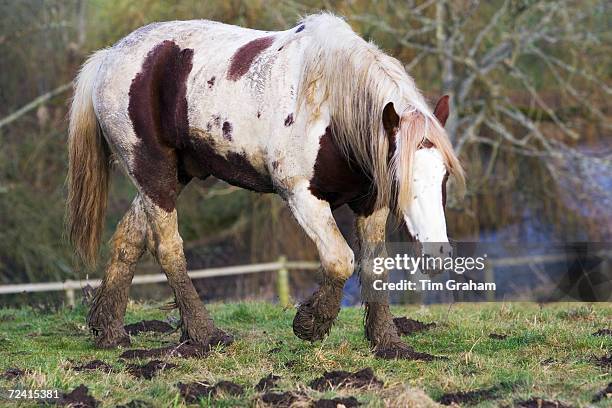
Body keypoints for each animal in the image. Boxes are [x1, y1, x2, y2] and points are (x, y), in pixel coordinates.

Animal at [67, 12, 464, 356]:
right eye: (403, 178)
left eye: (444, 176)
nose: (438, 254)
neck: (332, 108)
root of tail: (109, 57)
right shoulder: (301, 195)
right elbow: (340, 260)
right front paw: (311, 324)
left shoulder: (371, 203)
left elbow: (374, 265)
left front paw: (387, 342)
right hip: (153, 172)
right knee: (167, 247)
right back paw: (204, 334)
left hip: (170, 176)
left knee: (129, 238)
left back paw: (109, 331)